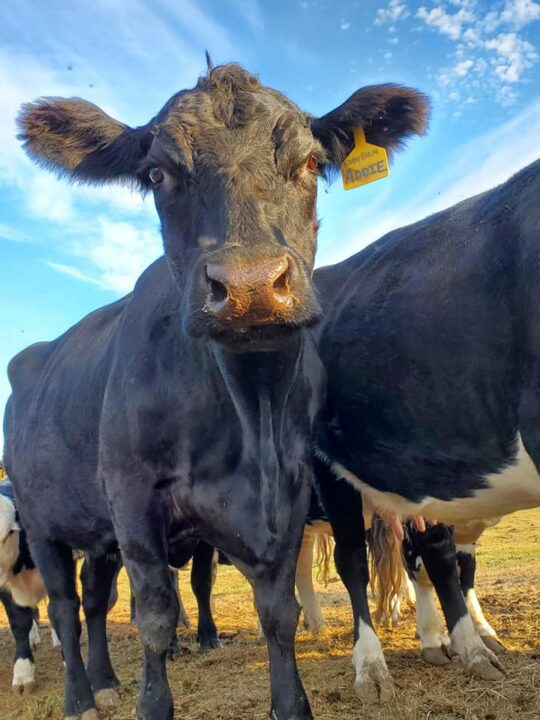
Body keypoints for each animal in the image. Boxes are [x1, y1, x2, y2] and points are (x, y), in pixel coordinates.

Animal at [3, 61, 429, 720]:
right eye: (157, 173)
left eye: (311, 163)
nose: (250, 285)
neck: (249, 415)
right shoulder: (133, 500)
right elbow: (155, 618)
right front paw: (152, 702)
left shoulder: (288, 492)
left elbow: (277, 613)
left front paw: (292, 703)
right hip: (41, 522)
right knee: (65, 609)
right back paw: (79, 697)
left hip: (96, 536)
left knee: (94, 602)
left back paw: (104, 680)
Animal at [313, 158, 540, 703]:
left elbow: (454, 563)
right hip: (329, 467)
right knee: (355, 561)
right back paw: (372, 665)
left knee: (431, 556)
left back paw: (468, 646)